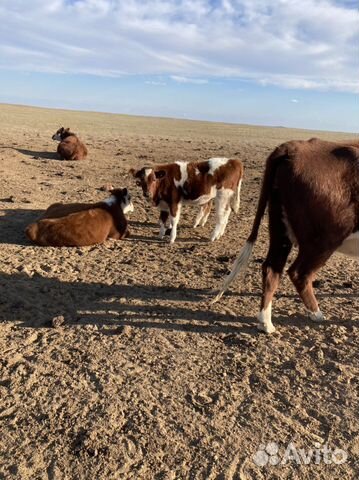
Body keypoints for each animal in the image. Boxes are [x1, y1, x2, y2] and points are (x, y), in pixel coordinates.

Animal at [214, 138, 359, 334]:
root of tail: (292, 147)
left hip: (280, 227)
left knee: (272, 268)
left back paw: (265, 322)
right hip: (323, 241)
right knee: (299, 273)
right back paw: (316, 314)